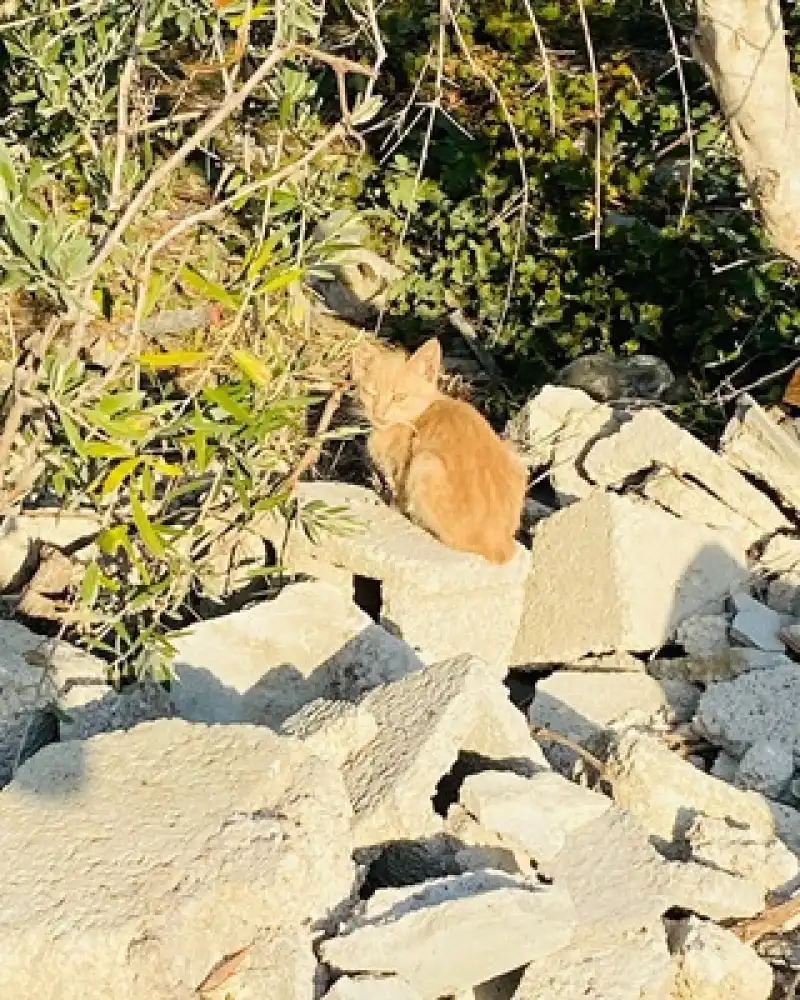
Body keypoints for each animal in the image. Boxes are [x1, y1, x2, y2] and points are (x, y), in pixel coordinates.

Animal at [348, 338, 524, 564]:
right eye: (371, 393)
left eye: (399, 397)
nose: (378, 413)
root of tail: (501, 544)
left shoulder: (403, 469)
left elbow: (399, 495)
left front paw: (394, 507)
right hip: (514, 453)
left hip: (425, 462)